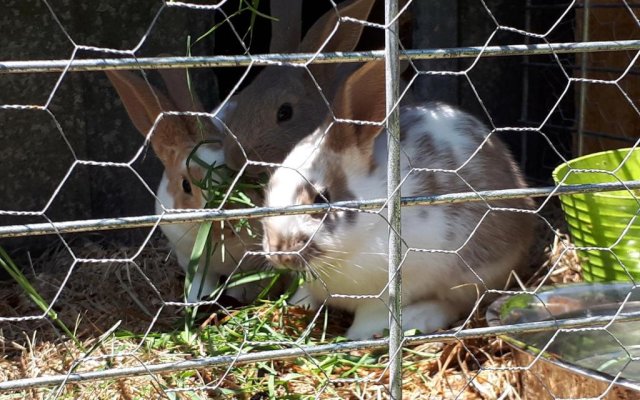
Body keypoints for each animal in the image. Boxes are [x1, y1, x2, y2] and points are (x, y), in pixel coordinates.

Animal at [260, 61, 536, 340]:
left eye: (320, 198)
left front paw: (357, 337)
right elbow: (305, 296)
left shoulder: (396, 287)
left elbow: (371, 315)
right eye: (269, 190)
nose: (279, 253)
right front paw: (295, 305)